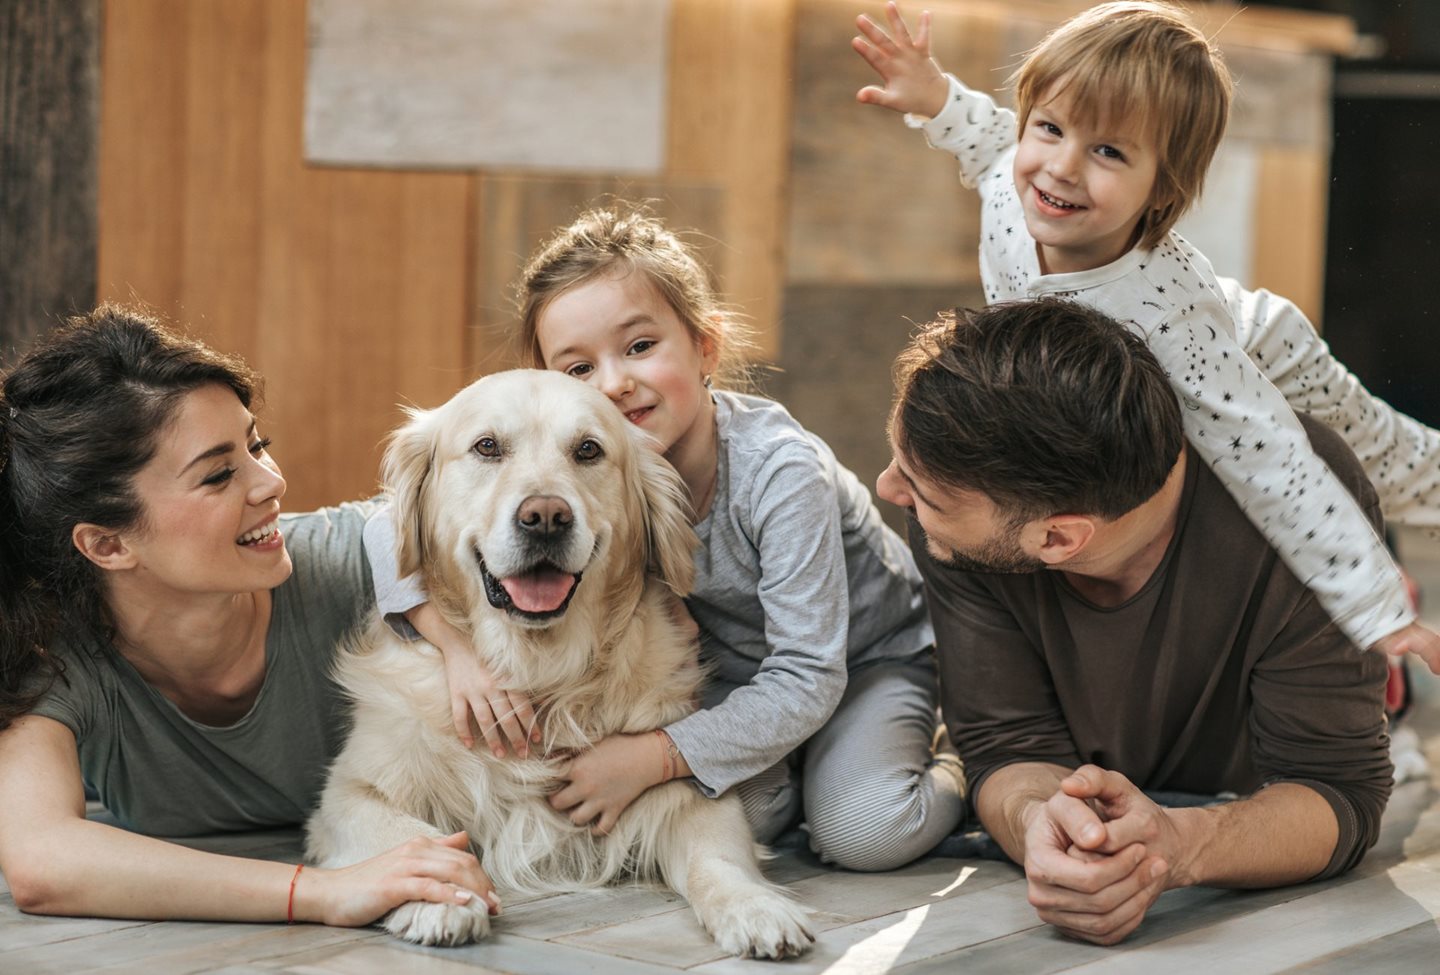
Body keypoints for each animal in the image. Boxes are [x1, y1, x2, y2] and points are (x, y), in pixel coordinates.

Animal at [305, 371, 817, 956]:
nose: (546, 517)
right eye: (487, 446)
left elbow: (718, 857)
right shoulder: (348, 792)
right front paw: (437, 893)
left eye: (588, 450)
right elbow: (411, 834)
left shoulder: (691, 789)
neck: (540, 673)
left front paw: (756, 908)